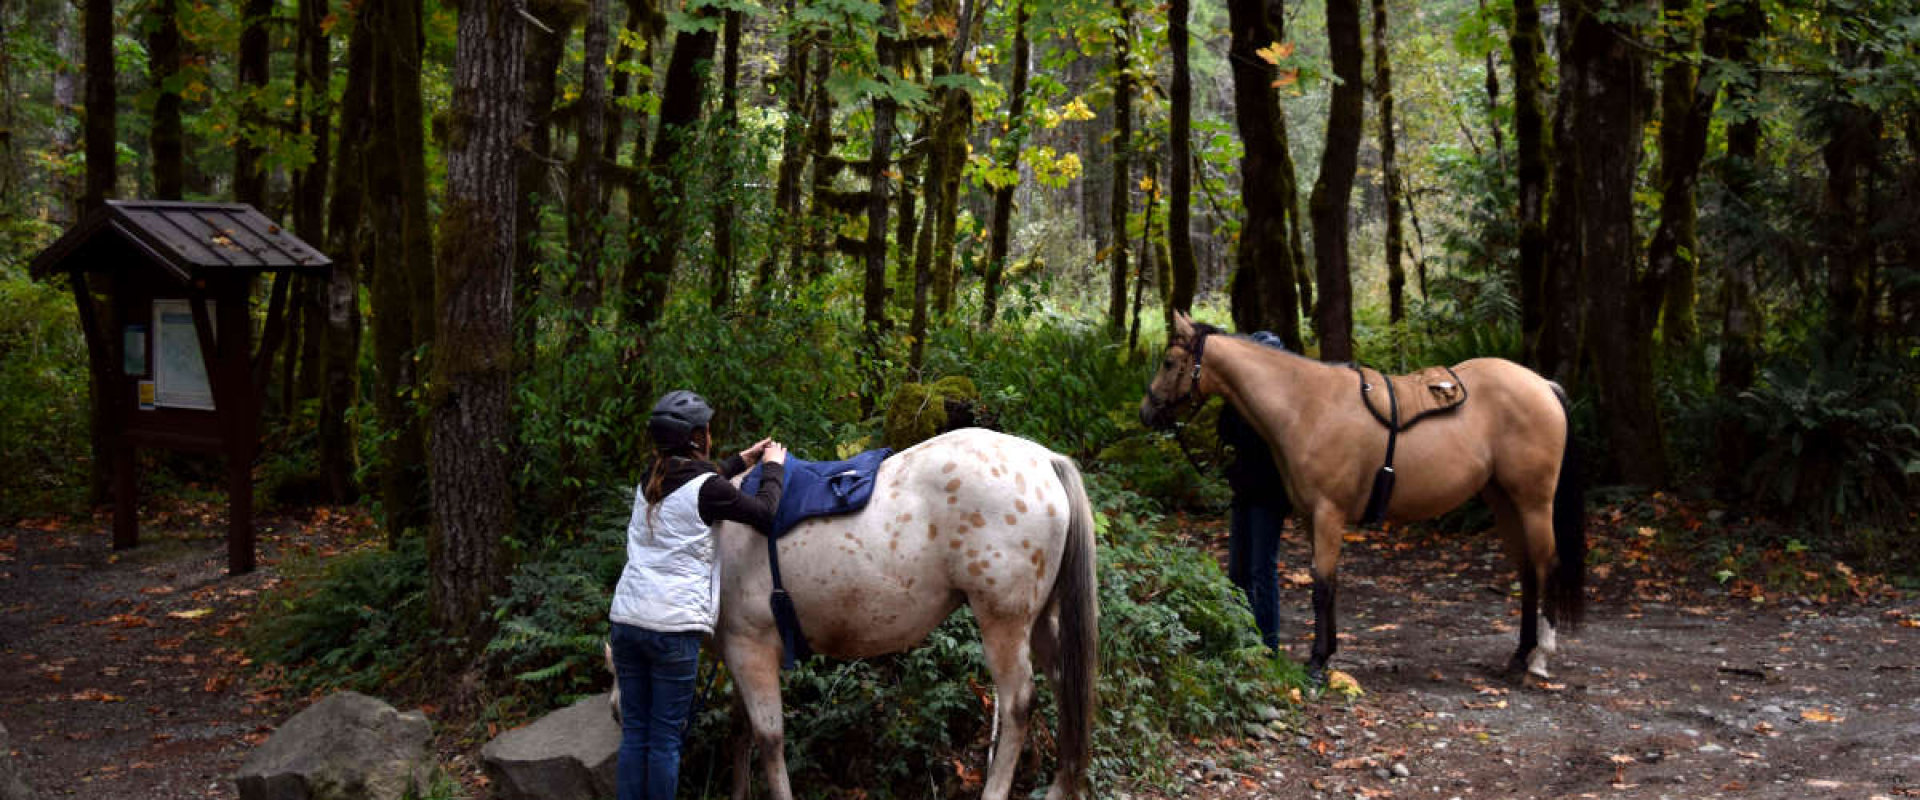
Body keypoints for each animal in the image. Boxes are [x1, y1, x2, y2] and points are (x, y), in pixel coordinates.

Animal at [714, 428, 1099, 800]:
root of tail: (1045, 459)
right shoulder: (739, 652)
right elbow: (740, 728)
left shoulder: (749, 646)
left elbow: (768, 738)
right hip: (1040, 623)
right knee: (1066, 689)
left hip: (1004, 623)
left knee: (1019, 704)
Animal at [1139, 311, 1584, 682]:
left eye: (1168, 362)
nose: (1146, 412)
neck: (1306, 406)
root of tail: (1542, 384)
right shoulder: (1311, 518)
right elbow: (1329, 584)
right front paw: (1327, 653)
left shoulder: (1328, 514)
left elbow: (1322, 586)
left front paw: (1317, 662)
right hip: (1503, 500)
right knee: (1527, 572)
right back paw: (1519, 655)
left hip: (1533, 501)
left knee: (1545, 565)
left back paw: (1539, 658)